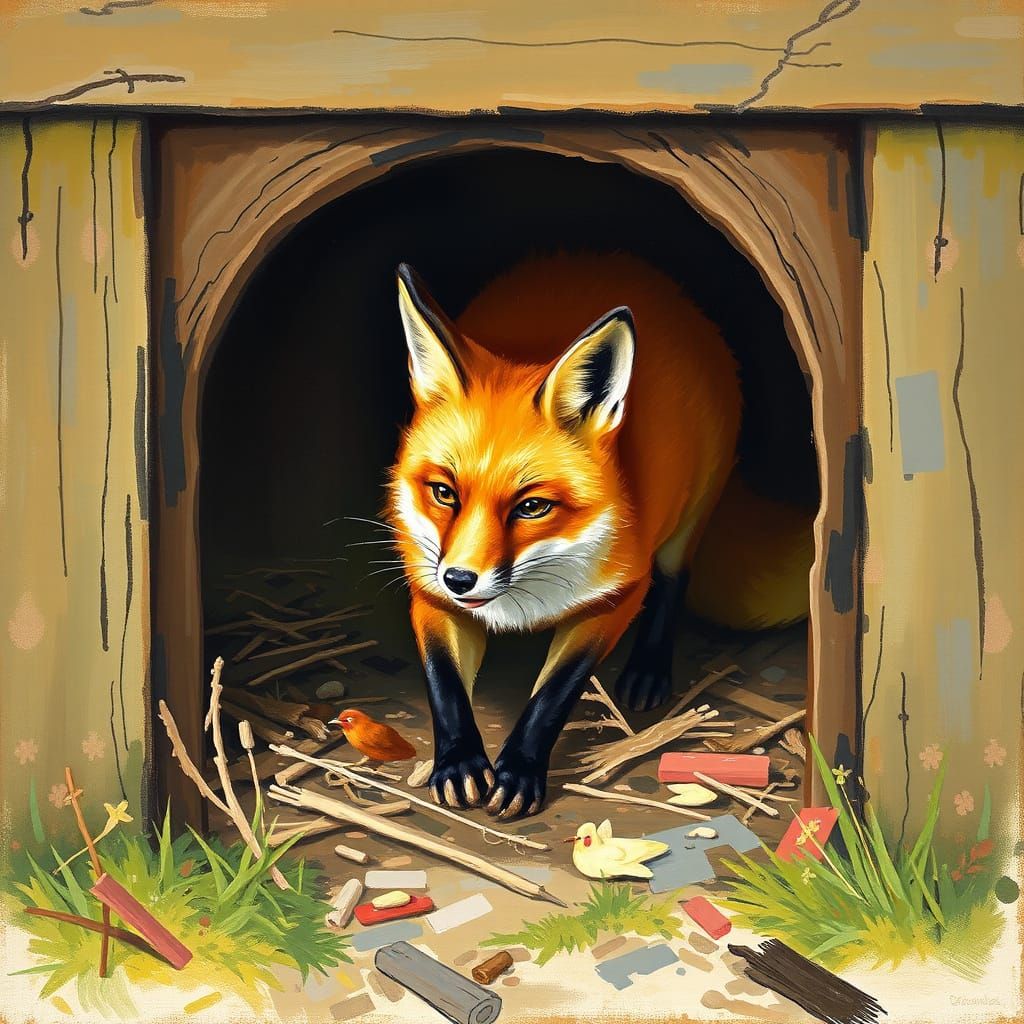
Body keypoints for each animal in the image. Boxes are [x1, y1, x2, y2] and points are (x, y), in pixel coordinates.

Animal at [386, 252, 813, 820]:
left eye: (532, 507)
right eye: (443, 493)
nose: (459, 578)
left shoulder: (614, 597)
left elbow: (552, 696)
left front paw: (520, 770)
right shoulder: (429, 593)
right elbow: (445, 685)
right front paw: (458, 762)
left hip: (687, 520)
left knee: (675, 579)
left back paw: (648, 672)